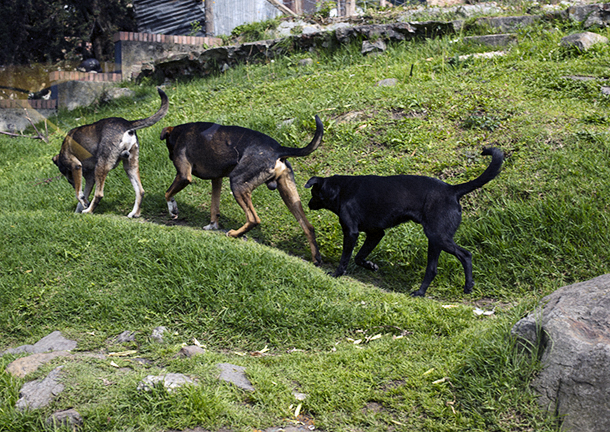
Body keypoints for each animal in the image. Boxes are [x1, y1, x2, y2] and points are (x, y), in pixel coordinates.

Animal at [52, 88, 169, 218]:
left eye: (68, 175)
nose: (71, 183)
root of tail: (126, 123)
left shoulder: (76, 166)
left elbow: (79, 194)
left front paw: (83, 206)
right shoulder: (90, 178)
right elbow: (83, 196)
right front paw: (80, 208)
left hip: (101, 166)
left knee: (99, 194)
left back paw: (89, 211)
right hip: (130, 166)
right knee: (140, 191)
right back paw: (134, 213)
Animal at [160, 115, 324, 264]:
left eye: (168, 145)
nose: (169, 157)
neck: (180, 132)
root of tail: (279, 149)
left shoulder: (183, 176)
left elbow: (167, 193)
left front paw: (173, 210)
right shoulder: (217, 179)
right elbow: (214, 207)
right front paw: (212, 226)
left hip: (237, 184)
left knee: (253, 219)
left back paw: (234, 234)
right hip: (288, 193)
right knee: (308, 227)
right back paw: (316, 259)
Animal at [304, 147, 504, 296]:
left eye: (313, 192)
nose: (307, 204)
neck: (340, 189)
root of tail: (453, 190)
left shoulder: (351, 232)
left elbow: (346, 257)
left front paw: (336, 274)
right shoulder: (376, 233)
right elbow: (360, 256)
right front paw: (371, 266)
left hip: (438, 236)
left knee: (465, 255)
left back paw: (465, 286)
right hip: (435, 240)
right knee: (433, 269)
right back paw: (421, 293)